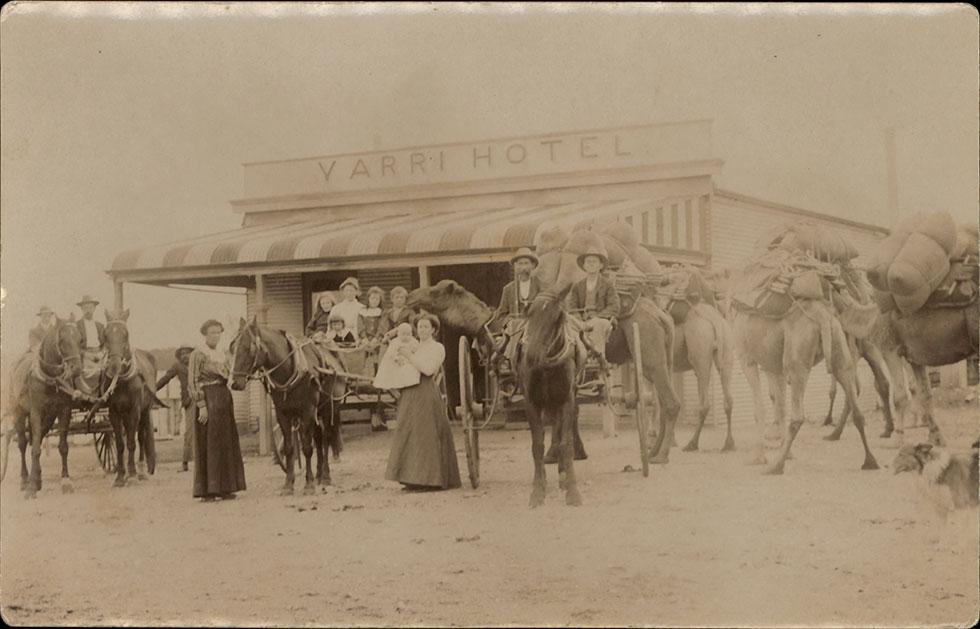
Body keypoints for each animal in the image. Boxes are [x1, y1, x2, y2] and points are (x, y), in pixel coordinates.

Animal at [7, 316, 83, 498]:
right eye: (62, 340)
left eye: (80, 339)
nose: (77, 369)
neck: (51, 378)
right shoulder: (36, 412)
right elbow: (34, 449)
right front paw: (31, 488)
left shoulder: (64, 411)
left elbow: (63, 447)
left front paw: (66, 481)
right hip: (18, 413)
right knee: (23, 444)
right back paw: (25, 480)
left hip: (48, 417)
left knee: (38, 438)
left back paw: (37, 478)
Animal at [102, 310, 165, 486]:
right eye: (105, 334)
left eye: (126, 334)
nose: (114, 365)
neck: (122, 380)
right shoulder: (114, 412)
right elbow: (120, 444)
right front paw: (120, 476)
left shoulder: (134, 410)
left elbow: (131, 442)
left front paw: (131, 473)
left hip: (144, 411)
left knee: (141, 437)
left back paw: (142, 471)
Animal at [230, 316, 344, 494]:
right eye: (233, 347)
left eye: (249, 348)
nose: (234, 383)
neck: (292, 368)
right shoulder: (282, 413)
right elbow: (290, 448)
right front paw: (289, 484)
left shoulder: (307, 411)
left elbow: (307, 448)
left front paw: (309, 484)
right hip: (316, 412)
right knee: (319, 439)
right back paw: (319, 474)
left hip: (329, 408)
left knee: (326, 439)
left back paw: (325, 476)